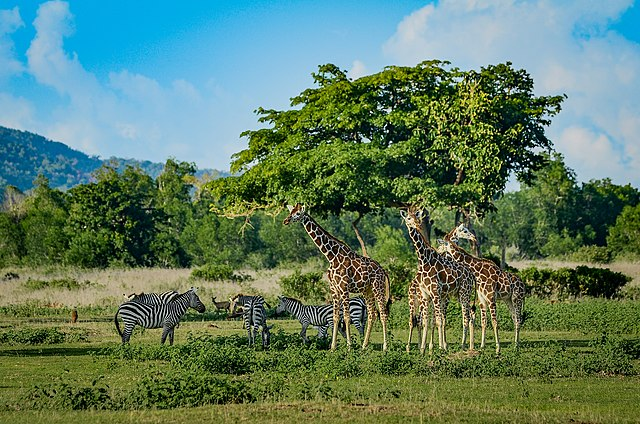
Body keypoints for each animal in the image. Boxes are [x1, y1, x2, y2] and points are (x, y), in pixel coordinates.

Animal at [284, 203, 390, 352]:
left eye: (298, 214)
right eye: (290, 212)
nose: (286, 221)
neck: (331, 256)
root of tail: (383, 270)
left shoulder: (344, 287)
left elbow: (346, 317)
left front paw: (349, 346)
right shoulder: (334, 288)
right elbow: (335, 317)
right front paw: (333, 347)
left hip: (377, 287)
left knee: (383, 313)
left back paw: (385, 347)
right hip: (367, 290)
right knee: (372, 314)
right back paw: (364, 346)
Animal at [400, 210, 476, 354]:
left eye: (416, 216)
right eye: (408, 218)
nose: (473, 237)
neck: (424, 260)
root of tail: (471, 275)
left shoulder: (438, 294)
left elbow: (438, 320)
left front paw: (438, 347)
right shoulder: (428, 295)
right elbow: (430, 321)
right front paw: (425, 348)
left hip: (464, 293)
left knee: (467, 316)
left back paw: (465, 345)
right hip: (416, 300)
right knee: (414, 320)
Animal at [440, 224, 524, 352]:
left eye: (443, 244)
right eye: (464, 231)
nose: (474, 237)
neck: (478, 272)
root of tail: (524, 285)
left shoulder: (491, 298)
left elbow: (494, 322)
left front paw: (498, 348)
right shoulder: (482, 299)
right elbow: (484, 322)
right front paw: (482, 346)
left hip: (517, 299)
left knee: (518, 319)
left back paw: (516, 346)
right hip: (508, 300)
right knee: (515, 318)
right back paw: (515, 344)